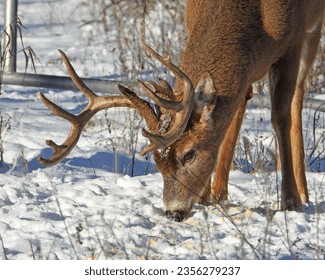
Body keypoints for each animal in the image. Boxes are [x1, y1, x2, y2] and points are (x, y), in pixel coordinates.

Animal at [38, 1, 324, 222]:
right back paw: (218, 192)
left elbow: (280, 117)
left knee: (298, 99)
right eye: (156, 161)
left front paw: (290, 201)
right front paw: (209, 196)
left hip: (313, 31)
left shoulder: (293, 41)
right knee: (240, 109)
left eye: (189, 154)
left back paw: (303, 192)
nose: (172, 213)